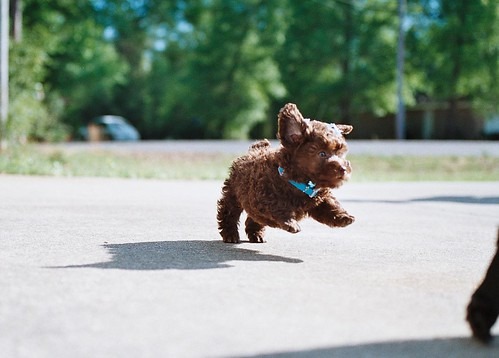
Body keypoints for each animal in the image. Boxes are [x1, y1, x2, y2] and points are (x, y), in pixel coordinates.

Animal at [219, 103, 356, 243]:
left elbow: (329, 205)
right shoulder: (263, 197)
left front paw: (343, 217)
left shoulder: (318, 199)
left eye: (340, 154)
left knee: (254, 218)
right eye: (322, 153)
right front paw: (290, 223)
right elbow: (278, 206)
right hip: (233, 192)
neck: (298, 182)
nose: (343, 169)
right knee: (228, 212)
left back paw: (256, 234)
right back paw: (230, 234)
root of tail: (255, 148)